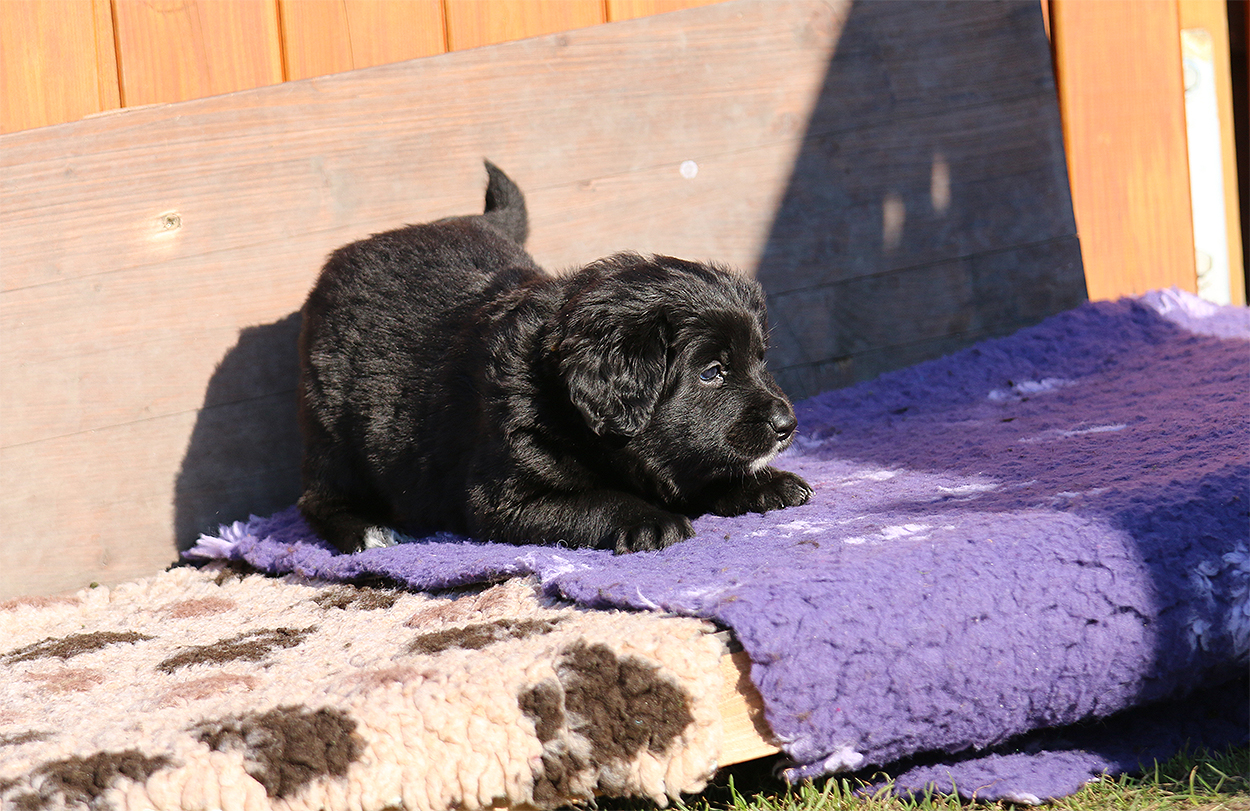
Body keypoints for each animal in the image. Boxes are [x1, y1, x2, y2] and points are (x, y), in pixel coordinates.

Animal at [297, 162, 811, 554]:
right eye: (712, 372)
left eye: (759, 360)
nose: (787, 424)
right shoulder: (508, 497)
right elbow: (597, 500)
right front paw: (650, 519)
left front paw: (766, 484)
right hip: (334, 434)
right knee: (317, 497)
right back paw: (367, 530)